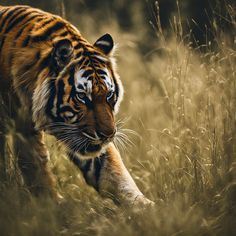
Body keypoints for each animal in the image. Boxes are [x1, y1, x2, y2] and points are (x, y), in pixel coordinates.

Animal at [0, 4, 153, 206]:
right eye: (82, 97)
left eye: (109, 95)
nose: (108, 135)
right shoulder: (24, 131)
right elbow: (36, 167)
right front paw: (50, 205)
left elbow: (114, 172)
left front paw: (147, 207)